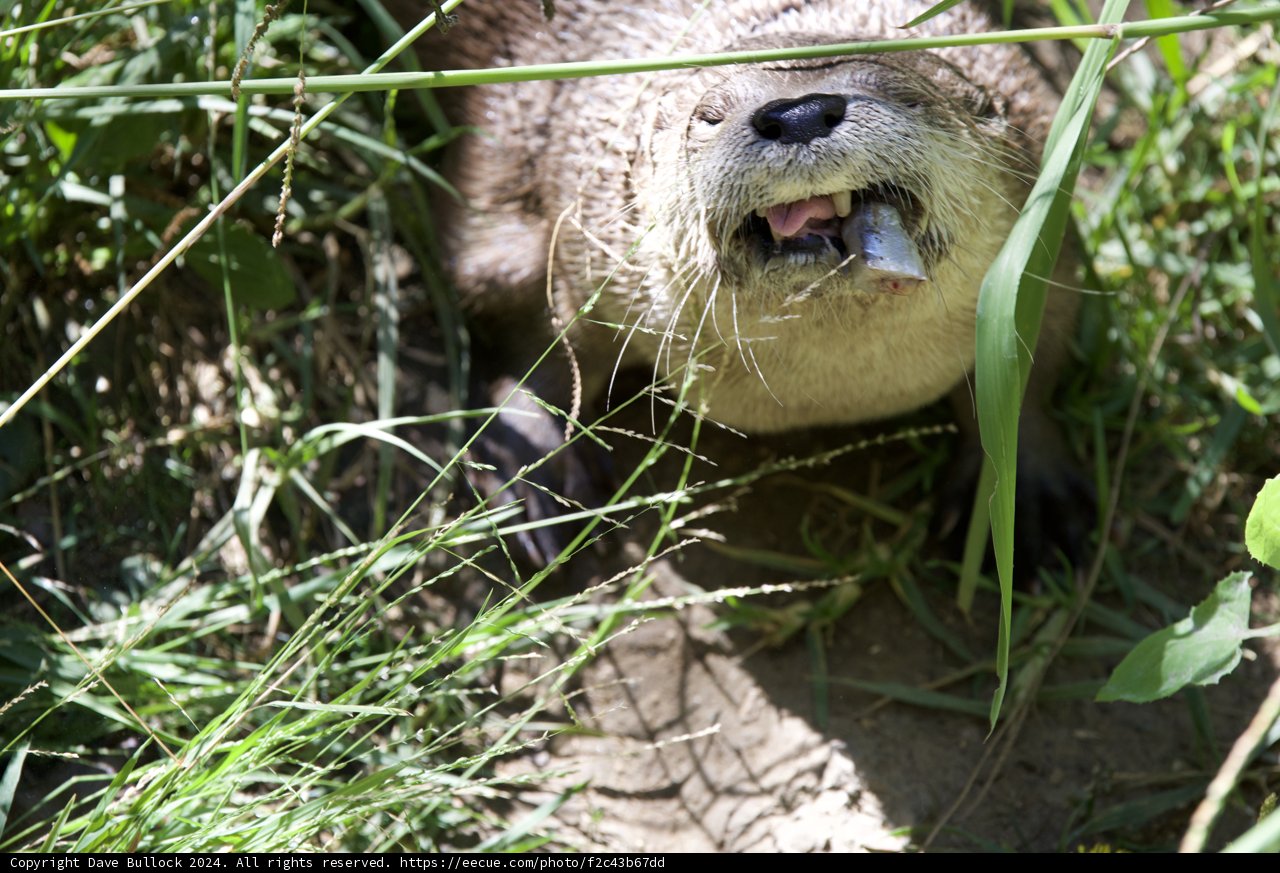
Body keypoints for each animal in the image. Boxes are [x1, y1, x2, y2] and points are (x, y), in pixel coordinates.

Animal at [422, 0, 1090, 566]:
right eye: (708, 116)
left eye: (896, 88)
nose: (797, 113)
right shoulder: (547, 206)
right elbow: (520, 324)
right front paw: (534, 475)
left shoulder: (1045, 247)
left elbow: (1031, 360)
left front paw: (1018, 494)